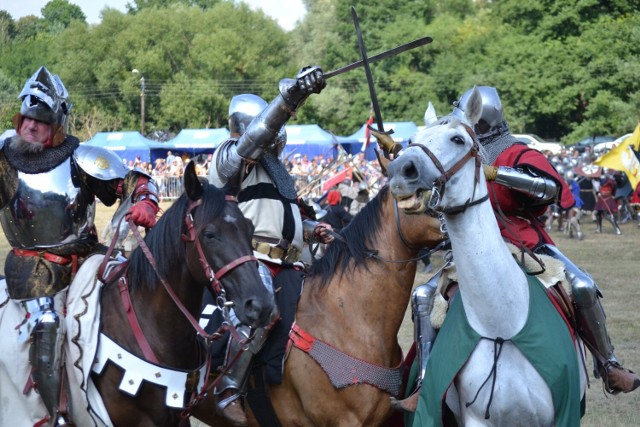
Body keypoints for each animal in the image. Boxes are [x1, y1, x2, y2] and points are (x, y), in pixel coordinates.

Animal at [384, 88, 584, 426]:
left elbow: (544, 186)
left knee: (583, 286)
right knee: (423, 296)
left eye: (457, 139)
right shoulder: (476, 419)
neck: (500, 328)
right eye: (413, 139)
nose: (400, 171)